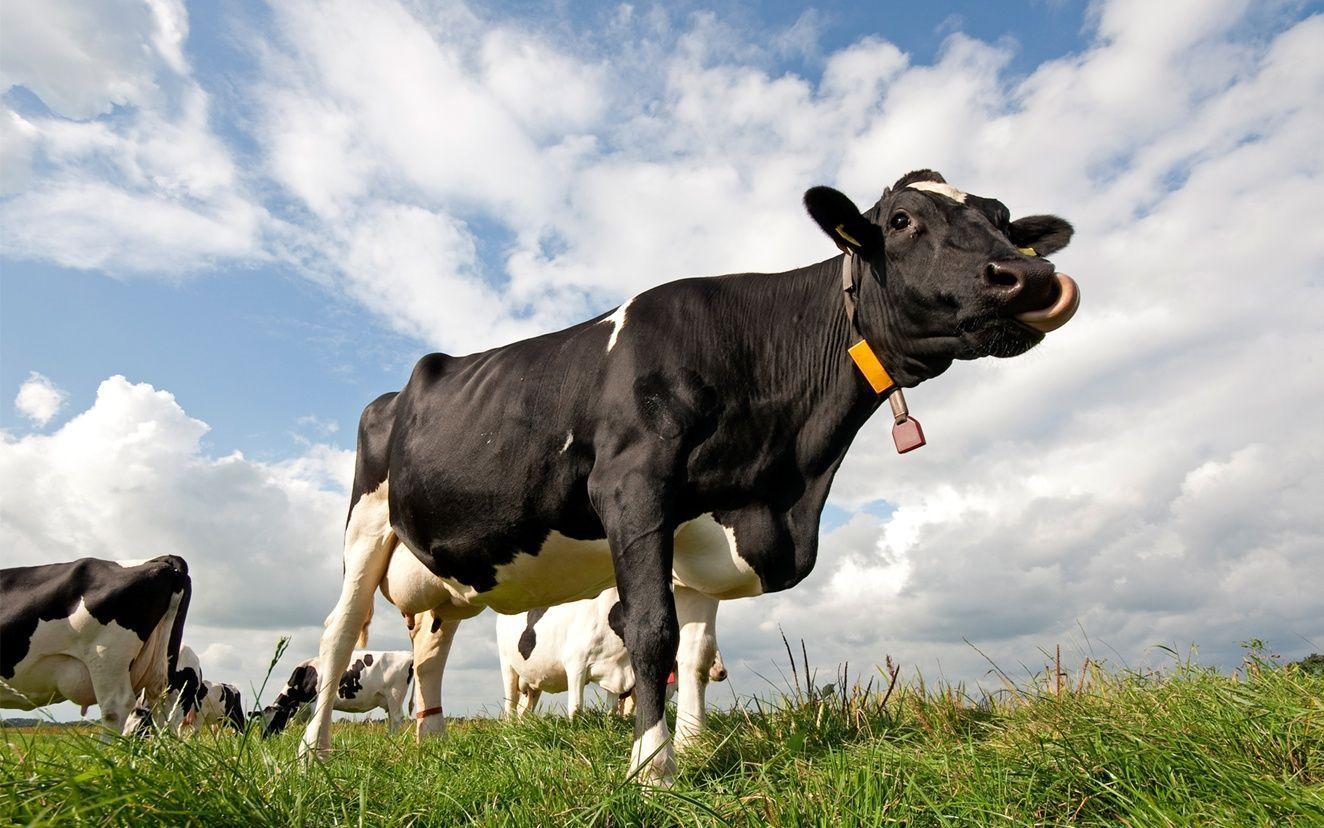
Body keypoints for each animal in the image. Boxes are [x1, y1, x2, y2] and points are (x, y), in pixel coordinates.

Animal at [262, 650, 413, 736]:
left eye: (274, 720)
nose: (266, 739)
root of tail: (407, 654)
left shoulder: (316, 704)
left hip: (395, 694)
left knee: (396, 718)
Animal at [498, 587, 727, 719]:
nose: (722, 672)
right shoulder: (576, 663)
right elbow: (576, 708)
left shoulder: (618, 673)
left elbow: (613, 710)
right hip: (507, 667)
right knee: (510, 705)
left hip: (532, 681)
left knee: (525, 710)